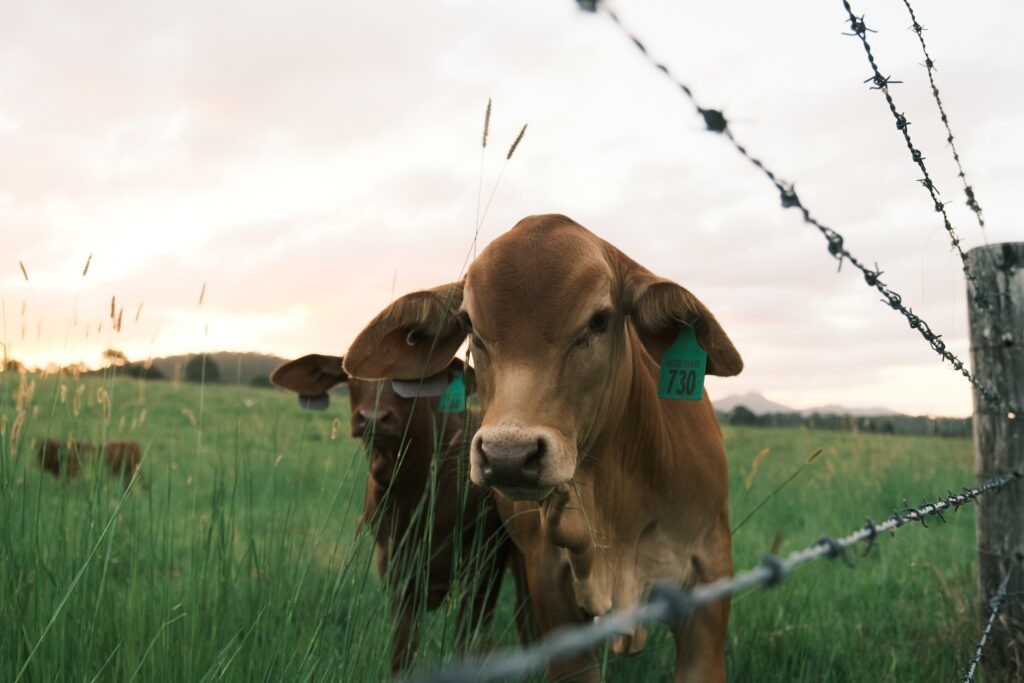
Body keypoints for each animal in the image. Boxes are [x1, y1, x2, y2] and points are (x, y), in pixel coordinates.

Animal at [270, 354, 524, 673]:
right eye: (350, 375)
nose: (373, 418)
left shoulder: (483, 567)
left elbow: (467, 645)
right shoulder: (393, 568)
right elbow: (402, 653)